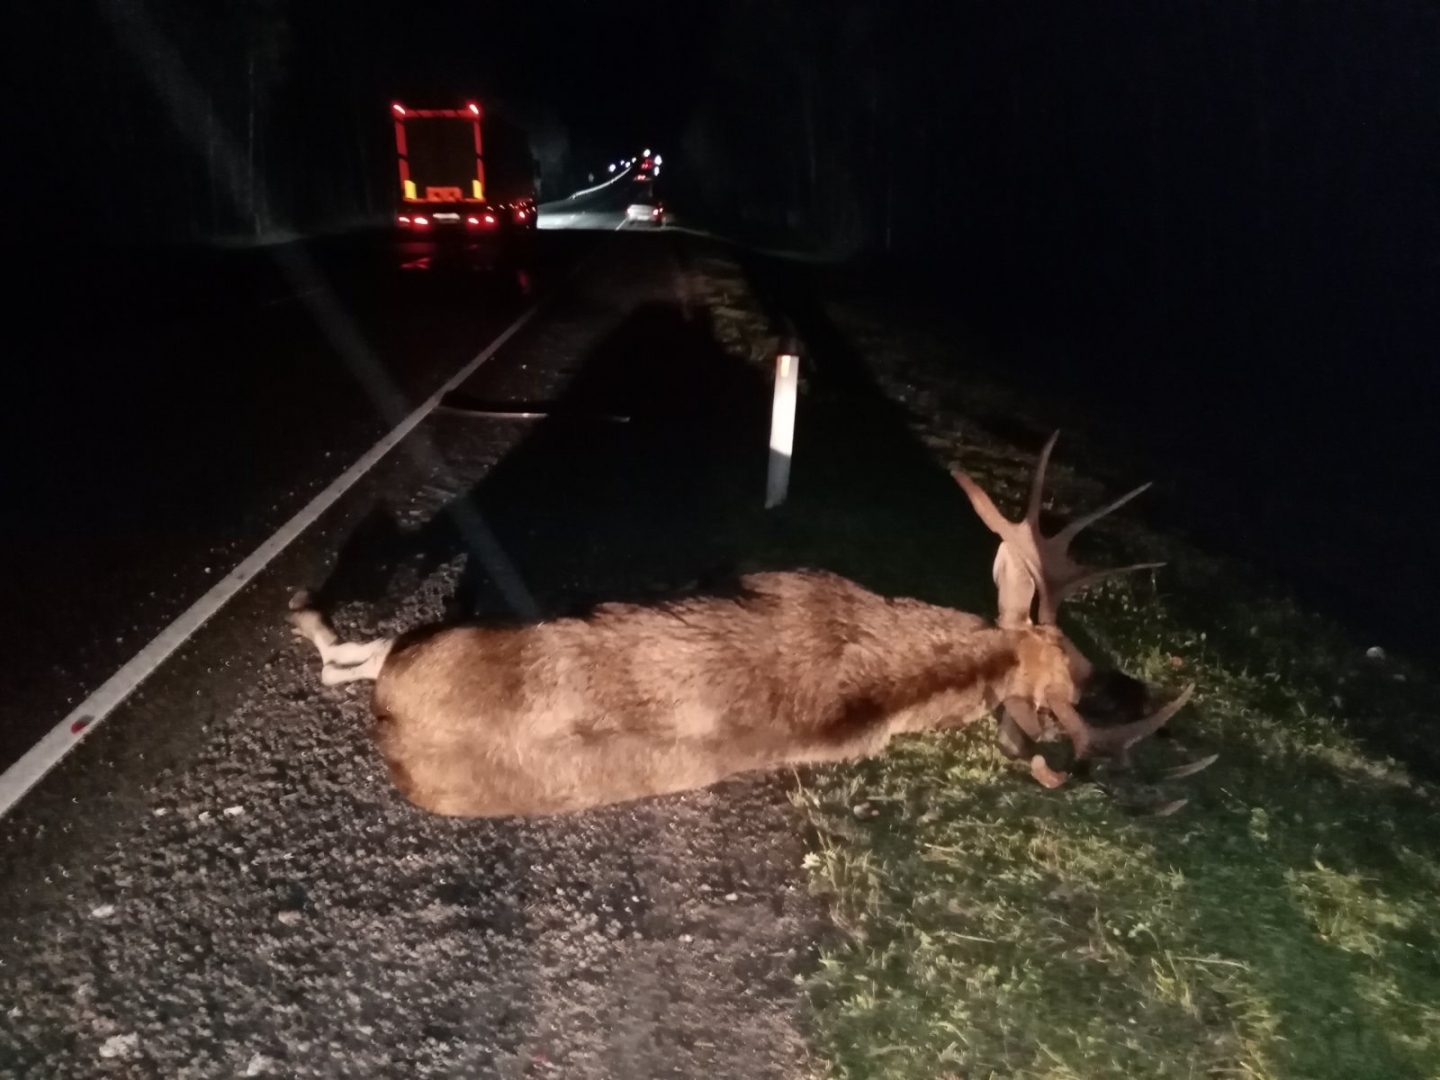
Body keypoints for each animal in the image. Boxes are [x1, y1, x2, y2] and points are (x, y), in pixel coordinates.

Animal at [286, 434, 1209, 817]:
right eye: (1078, 653)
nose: (1119, 684)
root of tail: (397, 727)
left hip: (430, 642)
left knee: (354, 649)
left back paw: (308, 613)